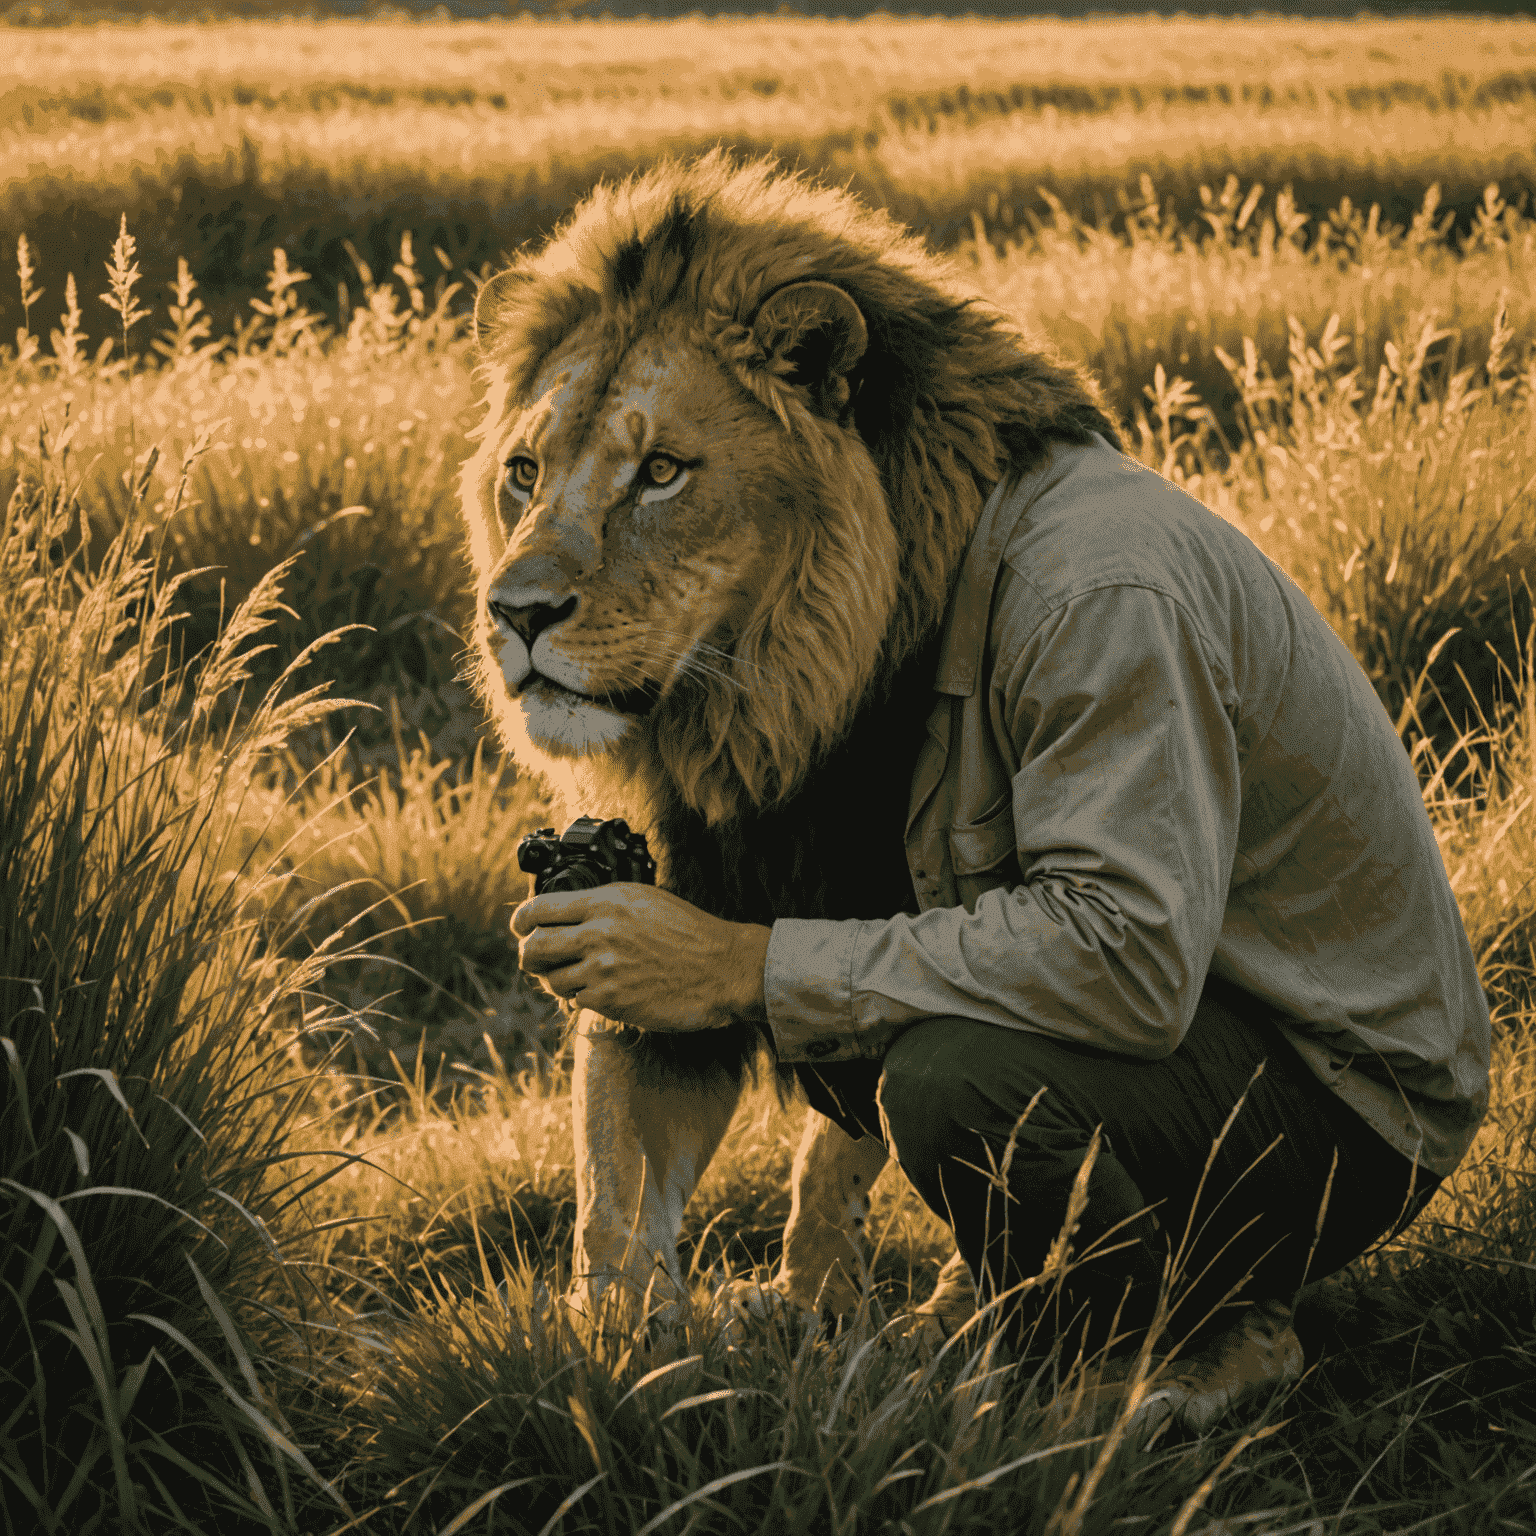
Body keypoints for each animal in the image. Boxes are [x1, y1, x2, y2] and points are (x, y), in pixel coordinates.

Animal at [460, 149, 1124, 1339]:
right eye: (524, 472)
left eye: (662, 473)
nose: (515, 611)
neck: (769, 723)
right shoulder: (652, 882)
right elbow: (613, 1184)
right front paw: (621, 1345)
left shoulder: (868, 908)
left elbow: (839, 1129)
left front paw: (830, 1305)